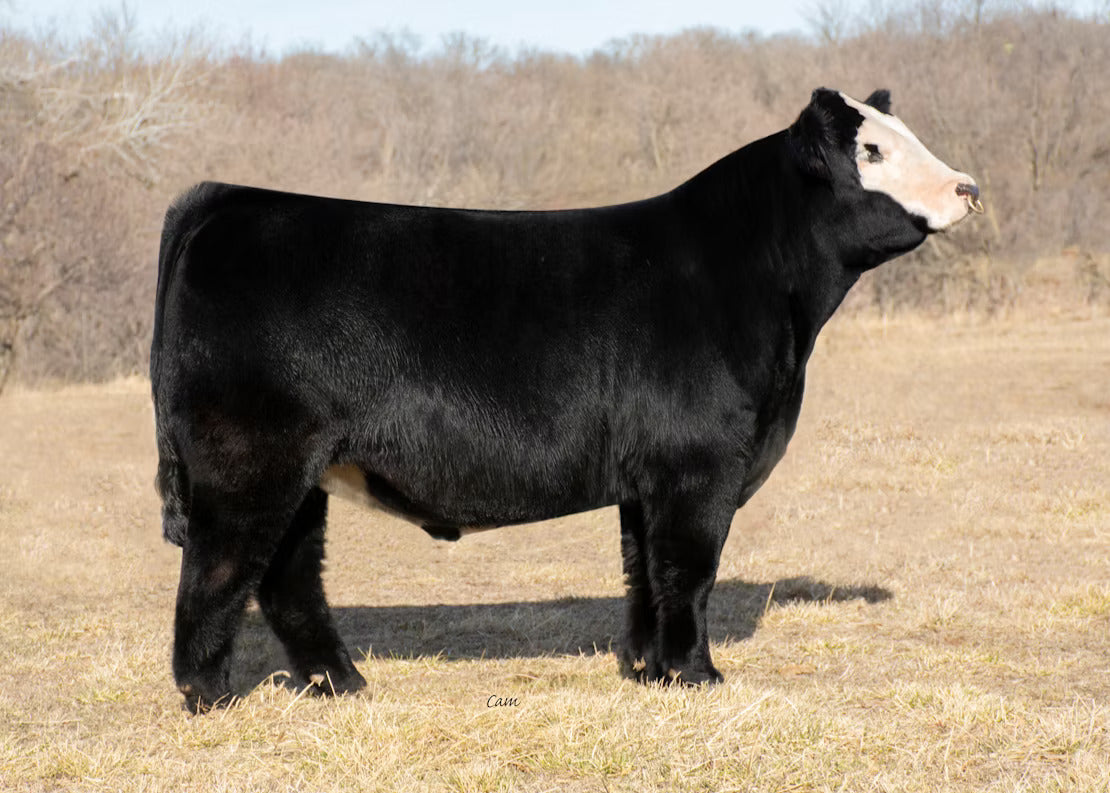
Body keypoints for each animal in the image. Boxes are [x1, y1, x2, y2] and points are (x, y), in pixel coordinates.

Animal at [152, 88, 981, 712]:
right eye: (870, 152)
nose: (968, 187)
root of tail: (228, 200)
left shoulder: (647, 477)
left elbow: (645, 571)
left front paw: (647, 670)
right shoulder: (699, 464)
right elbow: (690, 570)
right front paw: (698, 674)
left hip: (306, 472)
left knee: (287, 576)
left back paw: (342, 683)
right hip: (249, 462)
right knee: (219, 571)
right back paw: (212, 697)